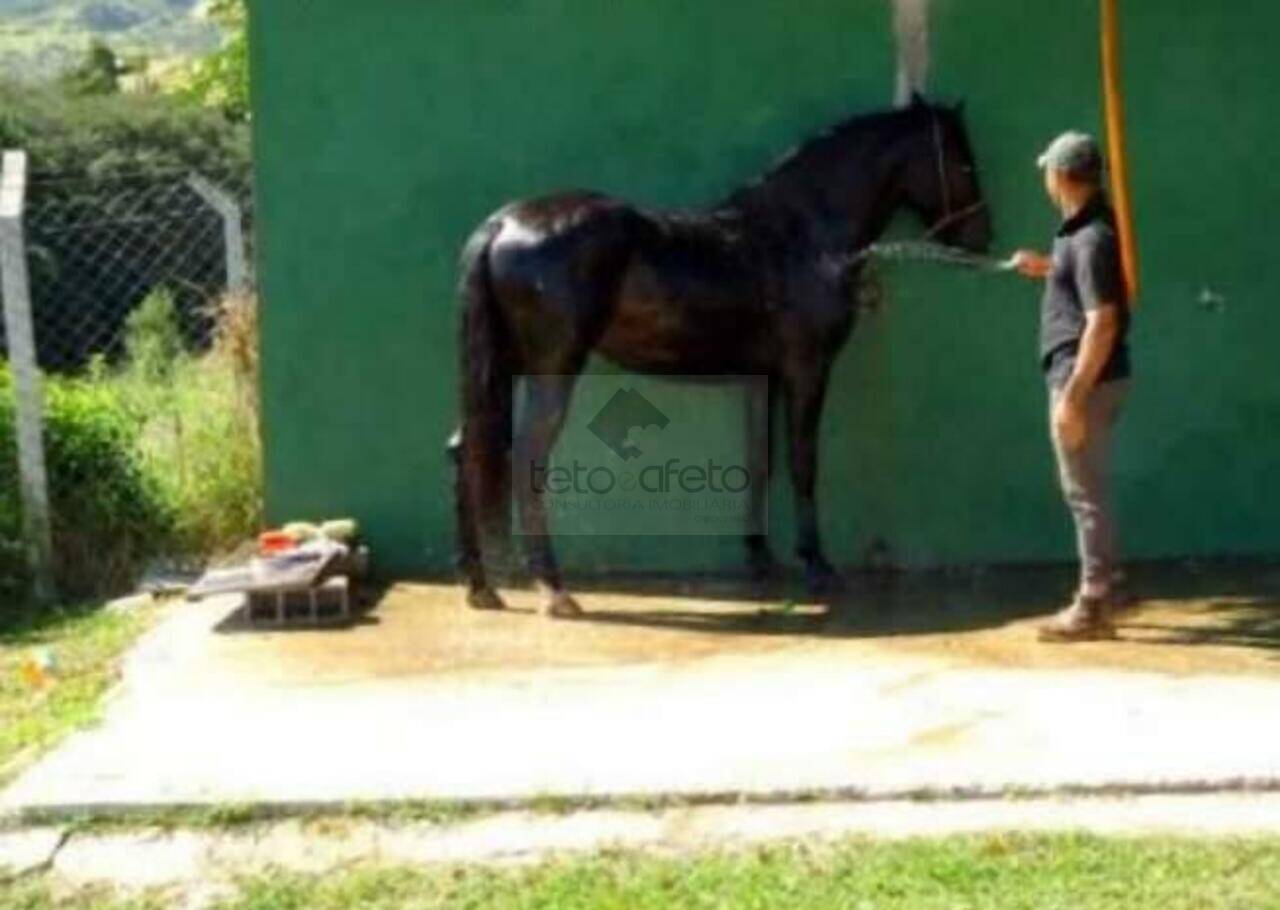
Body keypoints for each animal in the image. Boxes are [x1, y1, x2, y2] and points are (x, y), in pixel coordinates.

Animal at [455, 95, 993, 616]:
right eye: (963, 162)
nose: (982, 239)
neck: (802, 233)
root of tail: (503, 224)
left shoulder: (764, 378)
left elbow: (761, 461)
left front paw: (762, 558)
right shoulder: (808, 369)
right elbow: (803, 461)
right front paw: (818, 566)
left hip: (501, 367)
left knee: (466, 448)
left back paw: (481, 587)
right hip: (553, 367)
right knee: (527, 457)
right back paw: (554, 590)